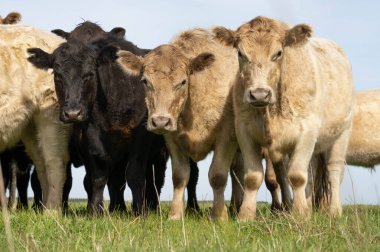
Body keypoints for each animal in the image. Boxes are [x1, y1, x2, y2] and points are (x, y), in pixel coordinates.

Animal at [29, 22, 199, 214]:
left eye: (90, 73)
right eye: (57, 74)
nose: (72, 113)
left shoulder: (140, 135)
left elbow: (135, 175)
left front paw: (138, 211)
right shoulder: (90, 136)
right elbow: (98, 177)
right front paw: (96, 210)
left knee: (170, 178)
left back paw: (178, 208)